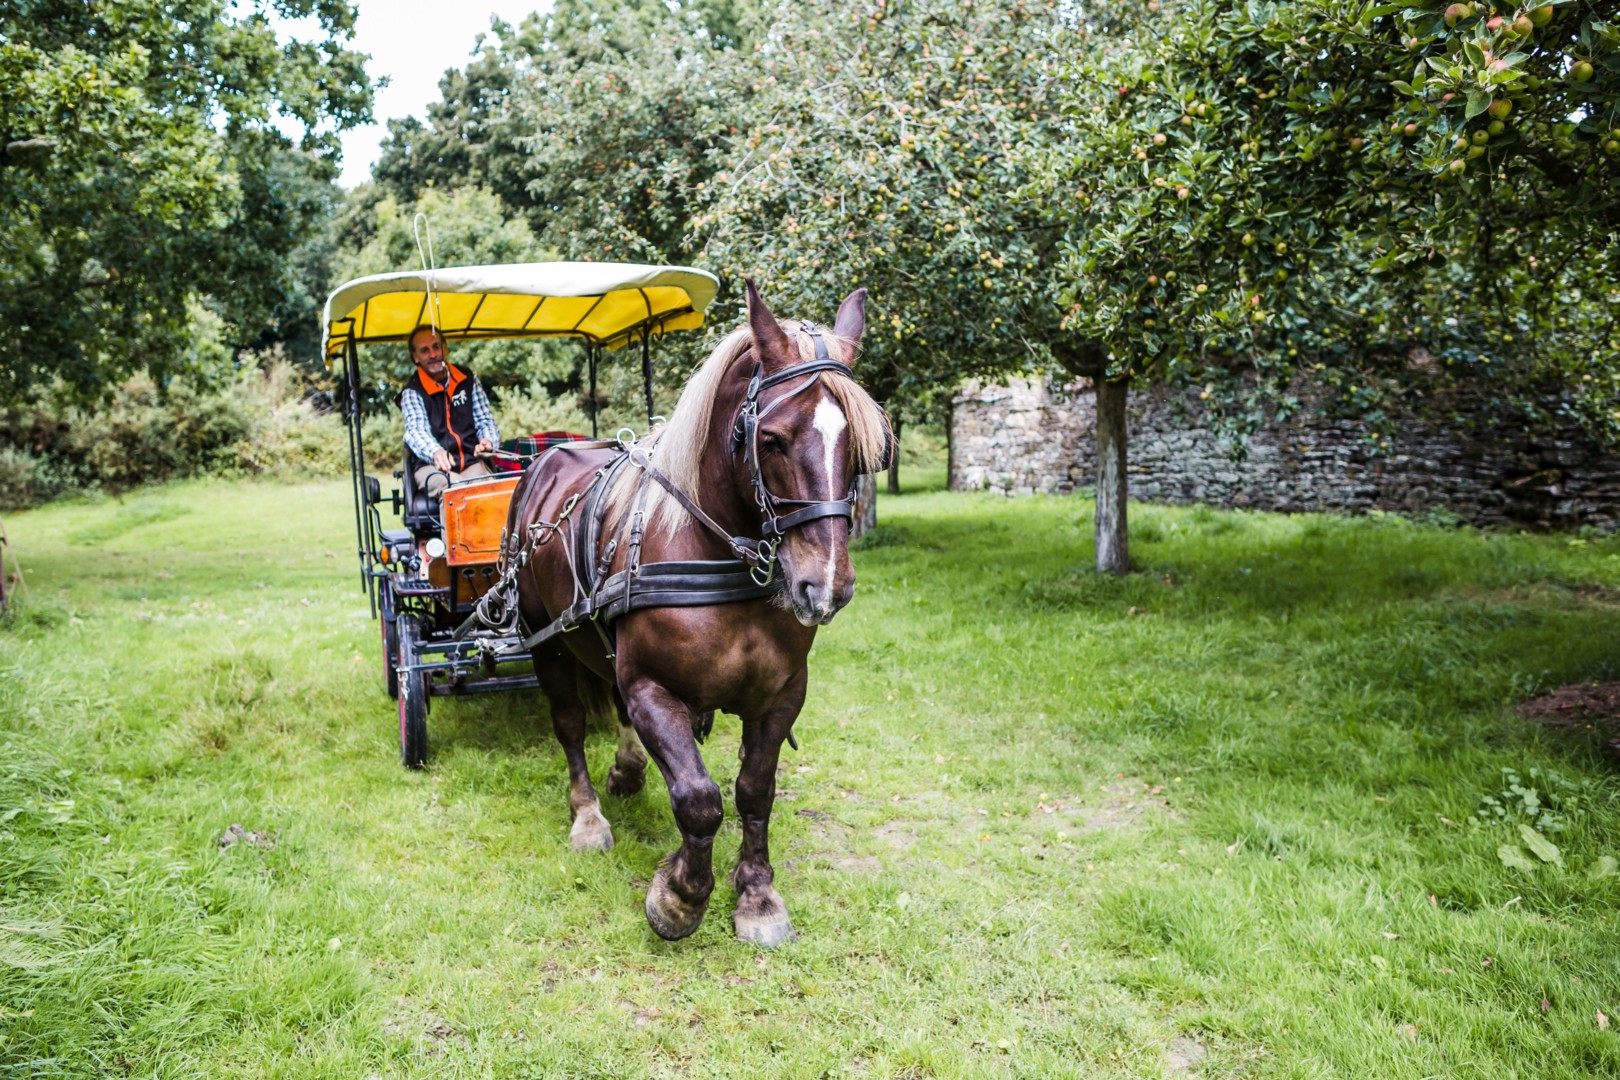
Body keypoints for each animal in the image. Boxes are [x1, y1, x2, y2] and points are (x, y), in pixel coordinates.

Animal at [502, 282, 889, 945]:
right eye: (771, 439)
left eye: (861, 450)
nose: (826, 586)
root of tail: (548, 459)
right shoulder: (653, 688)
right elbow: (699, 797)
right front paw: (679, 894)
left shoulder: (783, 694)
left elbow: (755, 791)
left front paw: (757, 895)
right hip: (544, 639)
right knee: (571, 722)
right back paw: (588, 815)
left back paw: (629, 769)